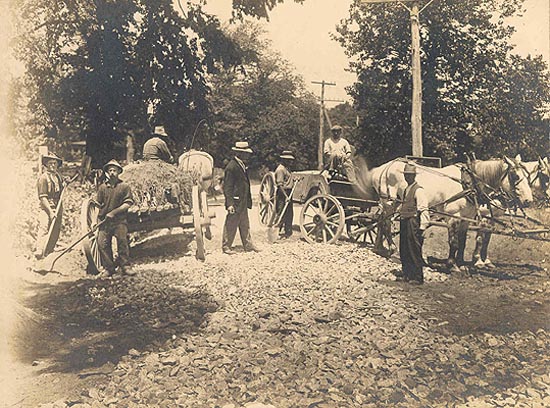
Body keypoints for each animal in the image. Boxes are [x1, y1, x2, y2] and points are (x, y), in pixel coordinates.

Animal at [354, 156, 536, 274]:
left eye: (528, 176)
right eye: (515, 176)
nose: (528, 200)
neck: (468, 183)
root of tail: (382, 168)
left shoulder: (466, 218)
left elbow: (463, 242)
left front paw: (462, 264)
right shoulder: (454, 217)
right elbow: (454, 243)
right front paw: (452, 265)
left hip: (395, 204)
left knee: (381, 220)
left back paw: (381, 248)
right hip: (389, 202)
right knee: (385, 223)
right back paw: (391, 249)